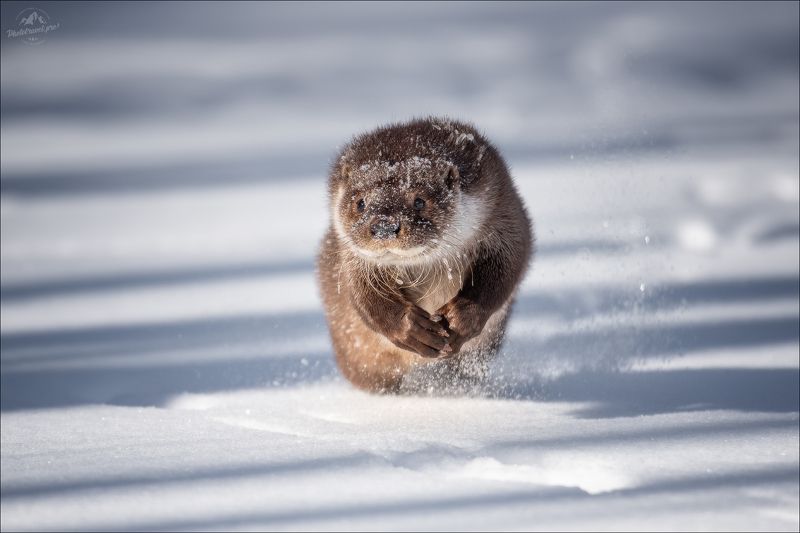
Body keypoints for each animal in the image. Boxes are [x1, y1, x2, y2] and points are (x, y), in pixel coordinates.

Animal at [317, 117, 533, 393]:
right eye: (361, 203)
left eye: (419, 201)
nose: (384, 226)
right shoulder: (352, 259)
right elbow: (364, 296)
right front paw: (412, 329)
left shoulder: (500, 210)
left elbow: (506, 267)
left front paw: (461, 317)